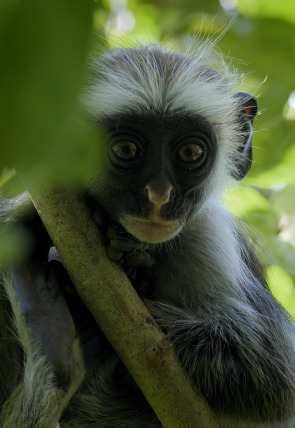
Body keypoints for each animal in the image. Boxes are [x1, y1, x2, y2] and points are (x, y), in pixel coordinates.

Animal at [0, 40, 295, 428]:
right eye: (126, 150)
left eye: (190, 152)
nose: (159, 196)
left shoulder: (207, 234)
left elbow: (275, 374)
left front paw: (134, 274)